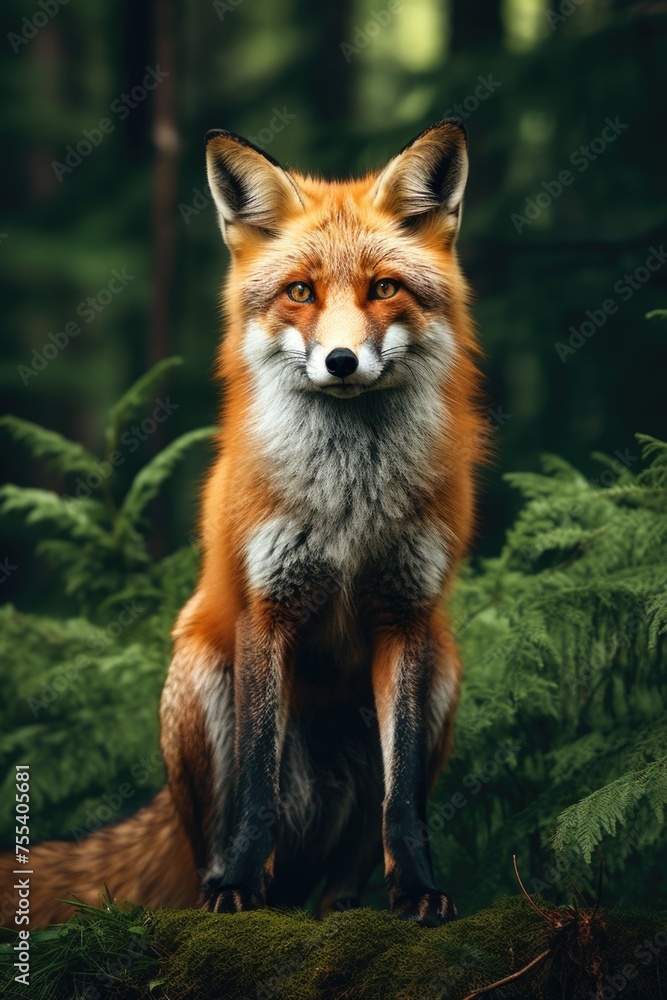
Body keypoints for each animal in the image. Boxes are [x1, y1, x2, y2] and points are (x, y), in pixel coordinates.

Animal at [1, 118, 485, 929]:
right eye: (300, 292)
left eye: (384, 288)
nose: (342, 360)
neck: (349, 501)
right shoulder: (268, 607)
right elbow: (258, 783)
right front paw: (238, 892)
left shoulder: (406, 613)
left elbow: (404, 806)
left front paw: (418, 892)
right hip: (198, 675)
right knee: (228, 837)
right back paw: (226, 888)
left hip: (443, 672)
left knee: (350, 858)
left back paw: (343, 908)